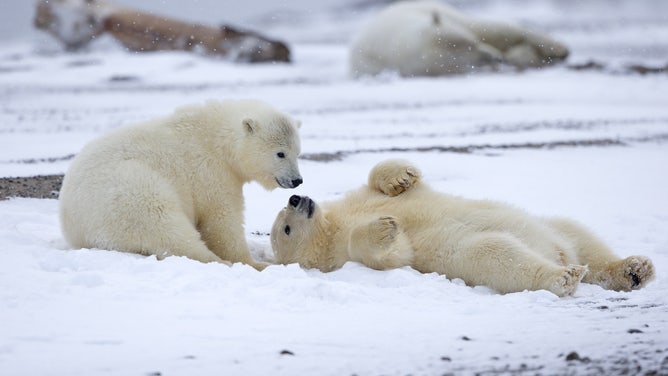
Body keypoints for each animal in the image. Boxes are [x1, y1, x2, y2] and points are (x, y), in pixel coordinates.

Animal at [61, 99, 302, 270]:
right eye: (280, 153)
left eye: (298, 152)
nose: (297, 180)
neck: (216, 138)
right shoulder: (211, 171)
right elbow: (222, 220)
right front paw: (251, 262)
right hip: (128, 191)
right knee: (165, 226)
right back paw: (222, 262)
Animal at [270, 159, 652, 296]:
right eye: (284, 230)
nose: (295, 198)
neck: (332, 226)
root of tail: (558, 252)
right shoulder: (343, 255)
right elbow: (394, 253)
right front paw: (385, 226)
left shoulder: (358, 198)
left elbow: (385, 183)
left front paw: (401, 177)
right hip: (471, 254)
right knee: (497, 254)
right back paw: (564, 276)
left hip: (554, 227)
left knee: (581, 235)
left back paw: (633, 269)